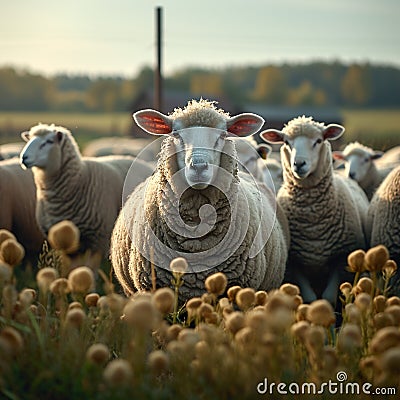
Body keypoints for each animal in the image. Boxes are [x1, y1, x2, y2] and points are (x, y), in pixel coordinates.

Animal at [19, 123, 155, 270]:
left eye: (49, 141)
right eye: (29, 139)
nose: (24, 158)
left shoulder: (97, 240)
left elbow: (90, 269)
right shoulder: (65, 242)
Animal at [260, 115, 370, 304]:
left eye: (318, 141)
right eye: (287, 142)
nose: (299, 164)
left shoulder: (340, 258)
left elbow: (328, 297)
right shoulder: (295, 263)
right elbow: (310, 298)